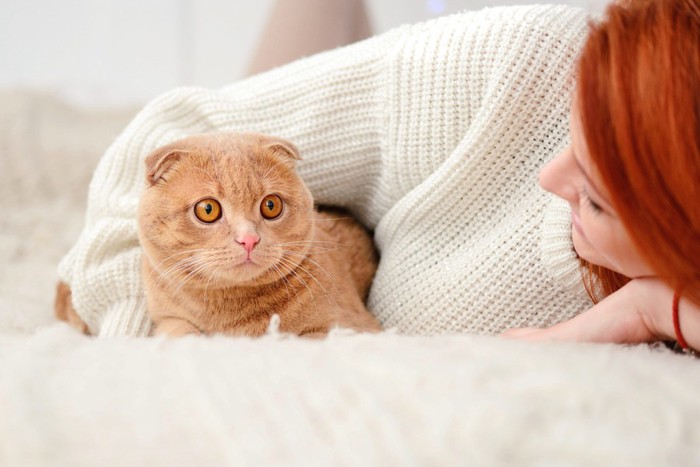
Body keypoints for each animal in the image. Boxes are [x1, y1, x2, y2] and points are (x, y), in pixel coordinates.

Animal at [134, 131, 380, 336]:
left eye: (271, 205)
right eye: (208, 209)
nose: (249, 239)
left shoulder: (353, 327)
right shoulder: (166, 318)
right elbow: (179, 329)